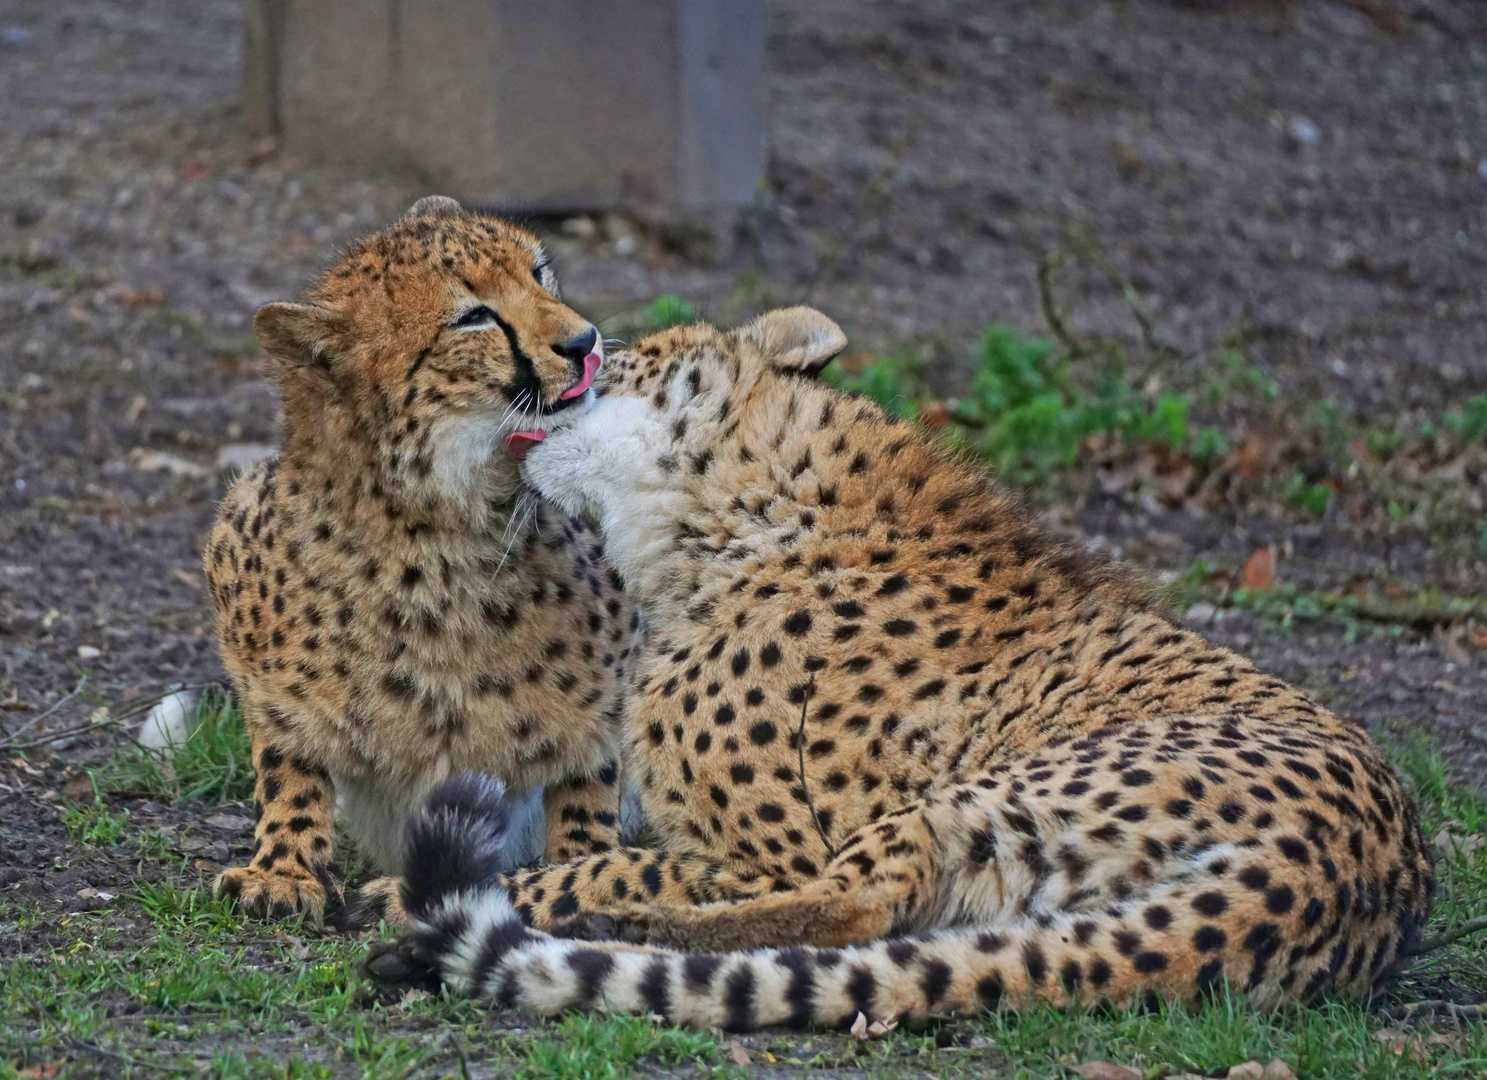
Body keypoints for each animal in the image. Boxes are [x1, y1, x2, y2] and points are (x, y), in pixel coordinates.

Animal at [202, 199, 633, 928]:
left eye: (539, 273)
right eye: (473, 316)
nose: (584, 342)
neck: (435, 531)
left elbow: (588, 770)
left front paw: (579, 869)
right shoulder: (242, 573)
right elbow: (287, 757)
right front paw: (284, 866)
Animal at [359, 306, 1427, 1029]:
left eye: (612, 358)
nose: (574, 353)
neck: (742, 508)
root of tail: (1355, 875)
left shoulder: (776, 846)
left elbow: (614, 859)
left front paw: (405, 891)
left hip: (986, 795)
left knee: (853, 906)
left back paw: (569, 931)